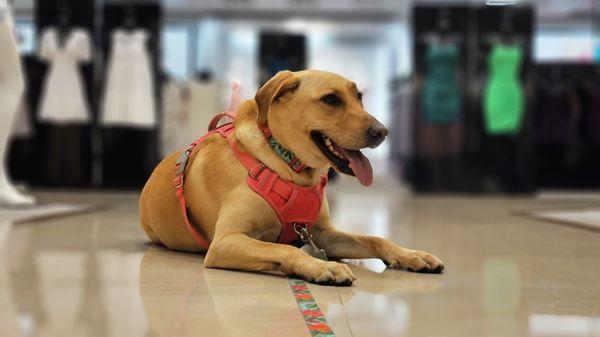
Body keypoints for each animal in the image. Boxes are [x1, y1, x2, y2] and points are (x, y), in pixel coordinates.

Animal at [138, 69, 442, 284]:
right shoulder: (225, 241)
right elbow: (286, 250)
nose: (382, 132)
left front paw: (411, 255)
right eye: (331, 99)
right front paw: (322, 266)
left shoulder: (323, 234)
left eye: (359, 97)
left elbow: (376, 239)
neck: (289, 166)